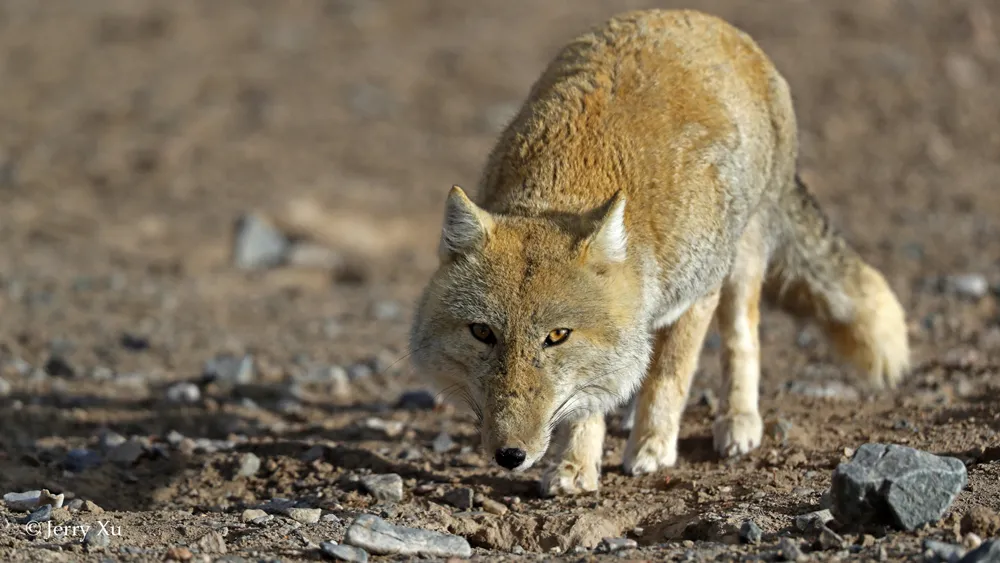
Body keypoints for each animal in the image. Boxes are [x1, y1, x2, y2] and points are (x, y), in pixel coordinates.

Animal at [406, 7, 908, 494]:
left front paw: (652, 446)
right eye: (482, 333)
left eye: (557, 336)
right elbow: (593, 394)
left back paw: (737, 420)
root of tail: (699, 18)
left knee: (741, 338)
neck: (568, 182)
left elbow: (669, 375)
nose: (509, 456)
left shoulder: (698, 290)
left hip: (741, 261)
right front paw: (576, 463)